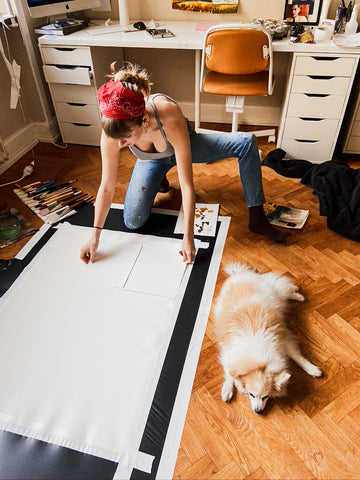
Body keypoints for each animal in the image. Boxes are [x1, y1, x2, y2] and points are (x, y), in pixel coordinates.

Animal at [212, 262, 322, 412]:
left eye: (265, 397)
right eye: (251, 395)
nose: (258, 411)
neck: (258, 361)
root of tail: (240, 274)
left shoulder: (283, 339)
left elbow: (298, 357)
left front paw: (312, 369)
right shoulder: (228, 351)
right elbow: (229, 373)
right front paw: (227, 389)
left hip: (274, 293)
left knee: (281, 287)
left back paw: (297, 295)